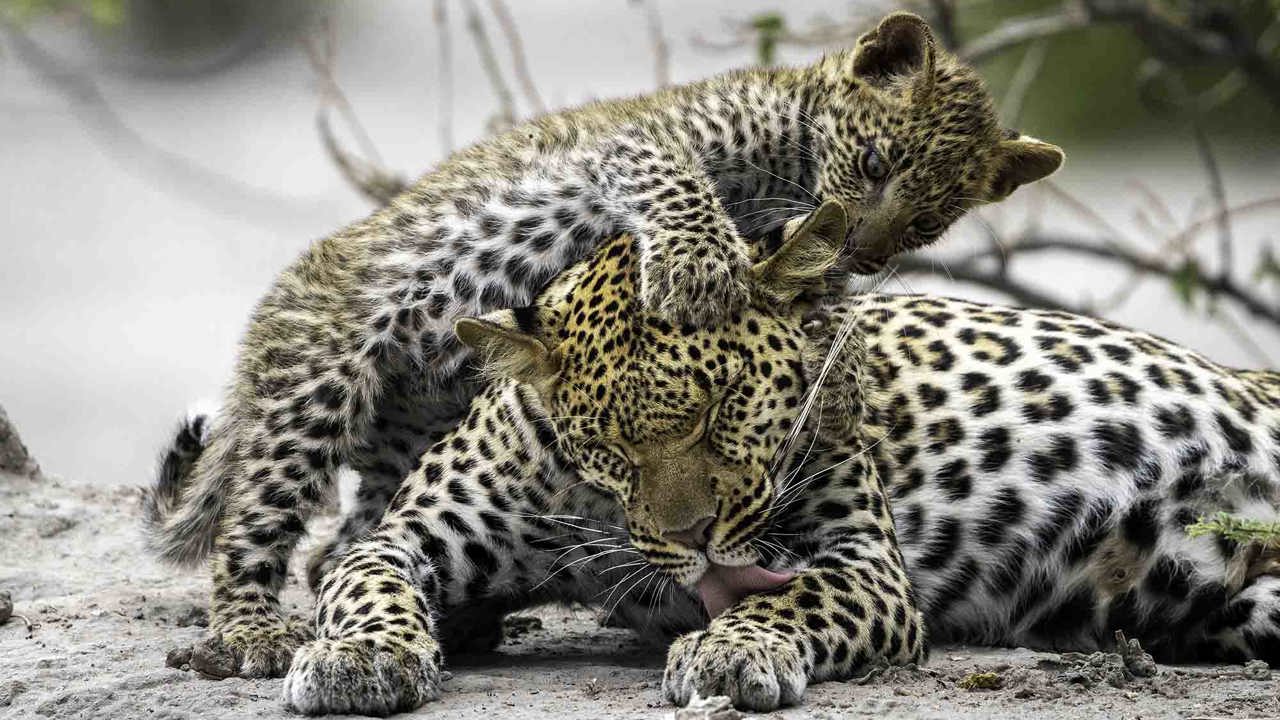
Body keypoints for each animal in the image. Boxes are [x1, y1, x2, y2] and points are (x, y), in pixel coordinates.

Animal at [142, 11, 1064, 679]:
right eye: (874, 162)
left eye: (928, 223)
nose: (869, 249)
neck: (787, 149)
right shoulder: (643, 138)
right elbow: (676, 182)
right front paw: (695, 265)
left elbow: (824, 312)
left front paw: (837, 385)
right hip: (316, 379)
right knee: (254, 524)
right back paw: (249, 632)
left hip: (406, 437)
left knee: (346, 542)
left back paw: (453, 619)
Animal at [266, 200, 1280, 716]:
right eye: (608, 445)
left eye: (726, 408)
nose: (697, 540)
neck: (596, 507)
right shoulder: (401, 539)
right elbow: (366, 583)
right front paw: (359, 658)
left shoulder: (864, 562)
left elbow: (796, 595)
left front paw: (730, 651)